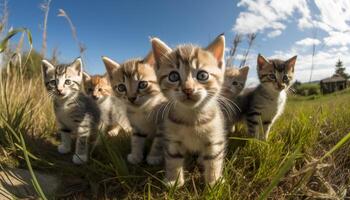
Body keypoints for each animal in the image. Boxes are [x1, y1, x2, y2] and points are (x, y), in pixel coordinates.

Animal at [152, 33, 226, 187]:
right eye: (173, 76)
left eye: (202, 75)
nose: (188, 89)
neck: (192, 119)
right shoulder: (173, 140)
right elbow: (173, 159)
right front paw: (174, 181)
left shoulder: (215, 138)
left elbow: (214, 159)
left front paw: (213, 182)